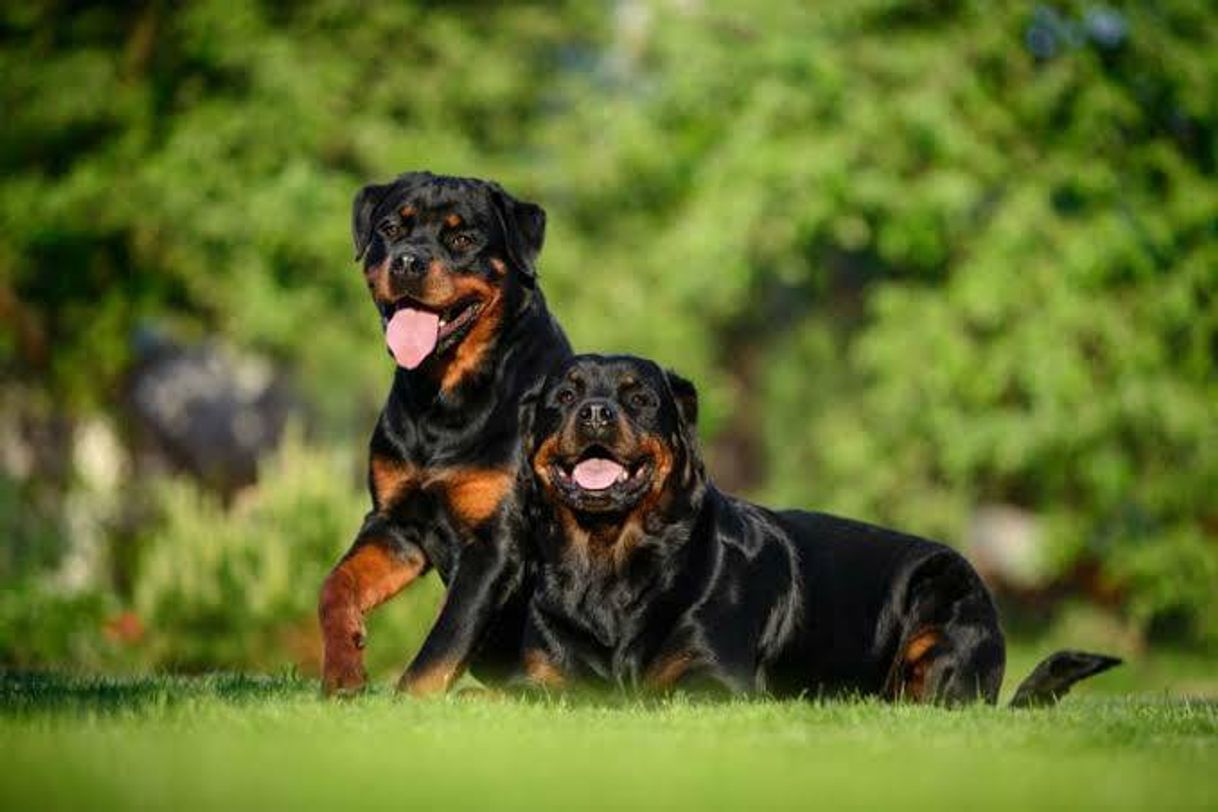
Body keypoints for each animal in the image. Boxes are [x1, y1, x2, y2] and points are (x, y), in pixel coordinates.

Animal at [321, 172, 572, 701]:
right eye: (391, 228)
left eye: (462, 239)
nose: (408, 260)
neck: (441, 400)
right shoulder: (396, 524)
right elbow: (335, 583)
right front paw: (343, 669)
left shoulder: (496, 544)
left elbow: (443, 641)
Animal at [518, 355, 1115, 706]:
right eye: (564, 396)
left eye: (638, 397)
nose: (596, 412)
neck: (611, 560)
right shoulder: (543, 678)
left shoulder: (716, 680)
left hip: (943, 600)